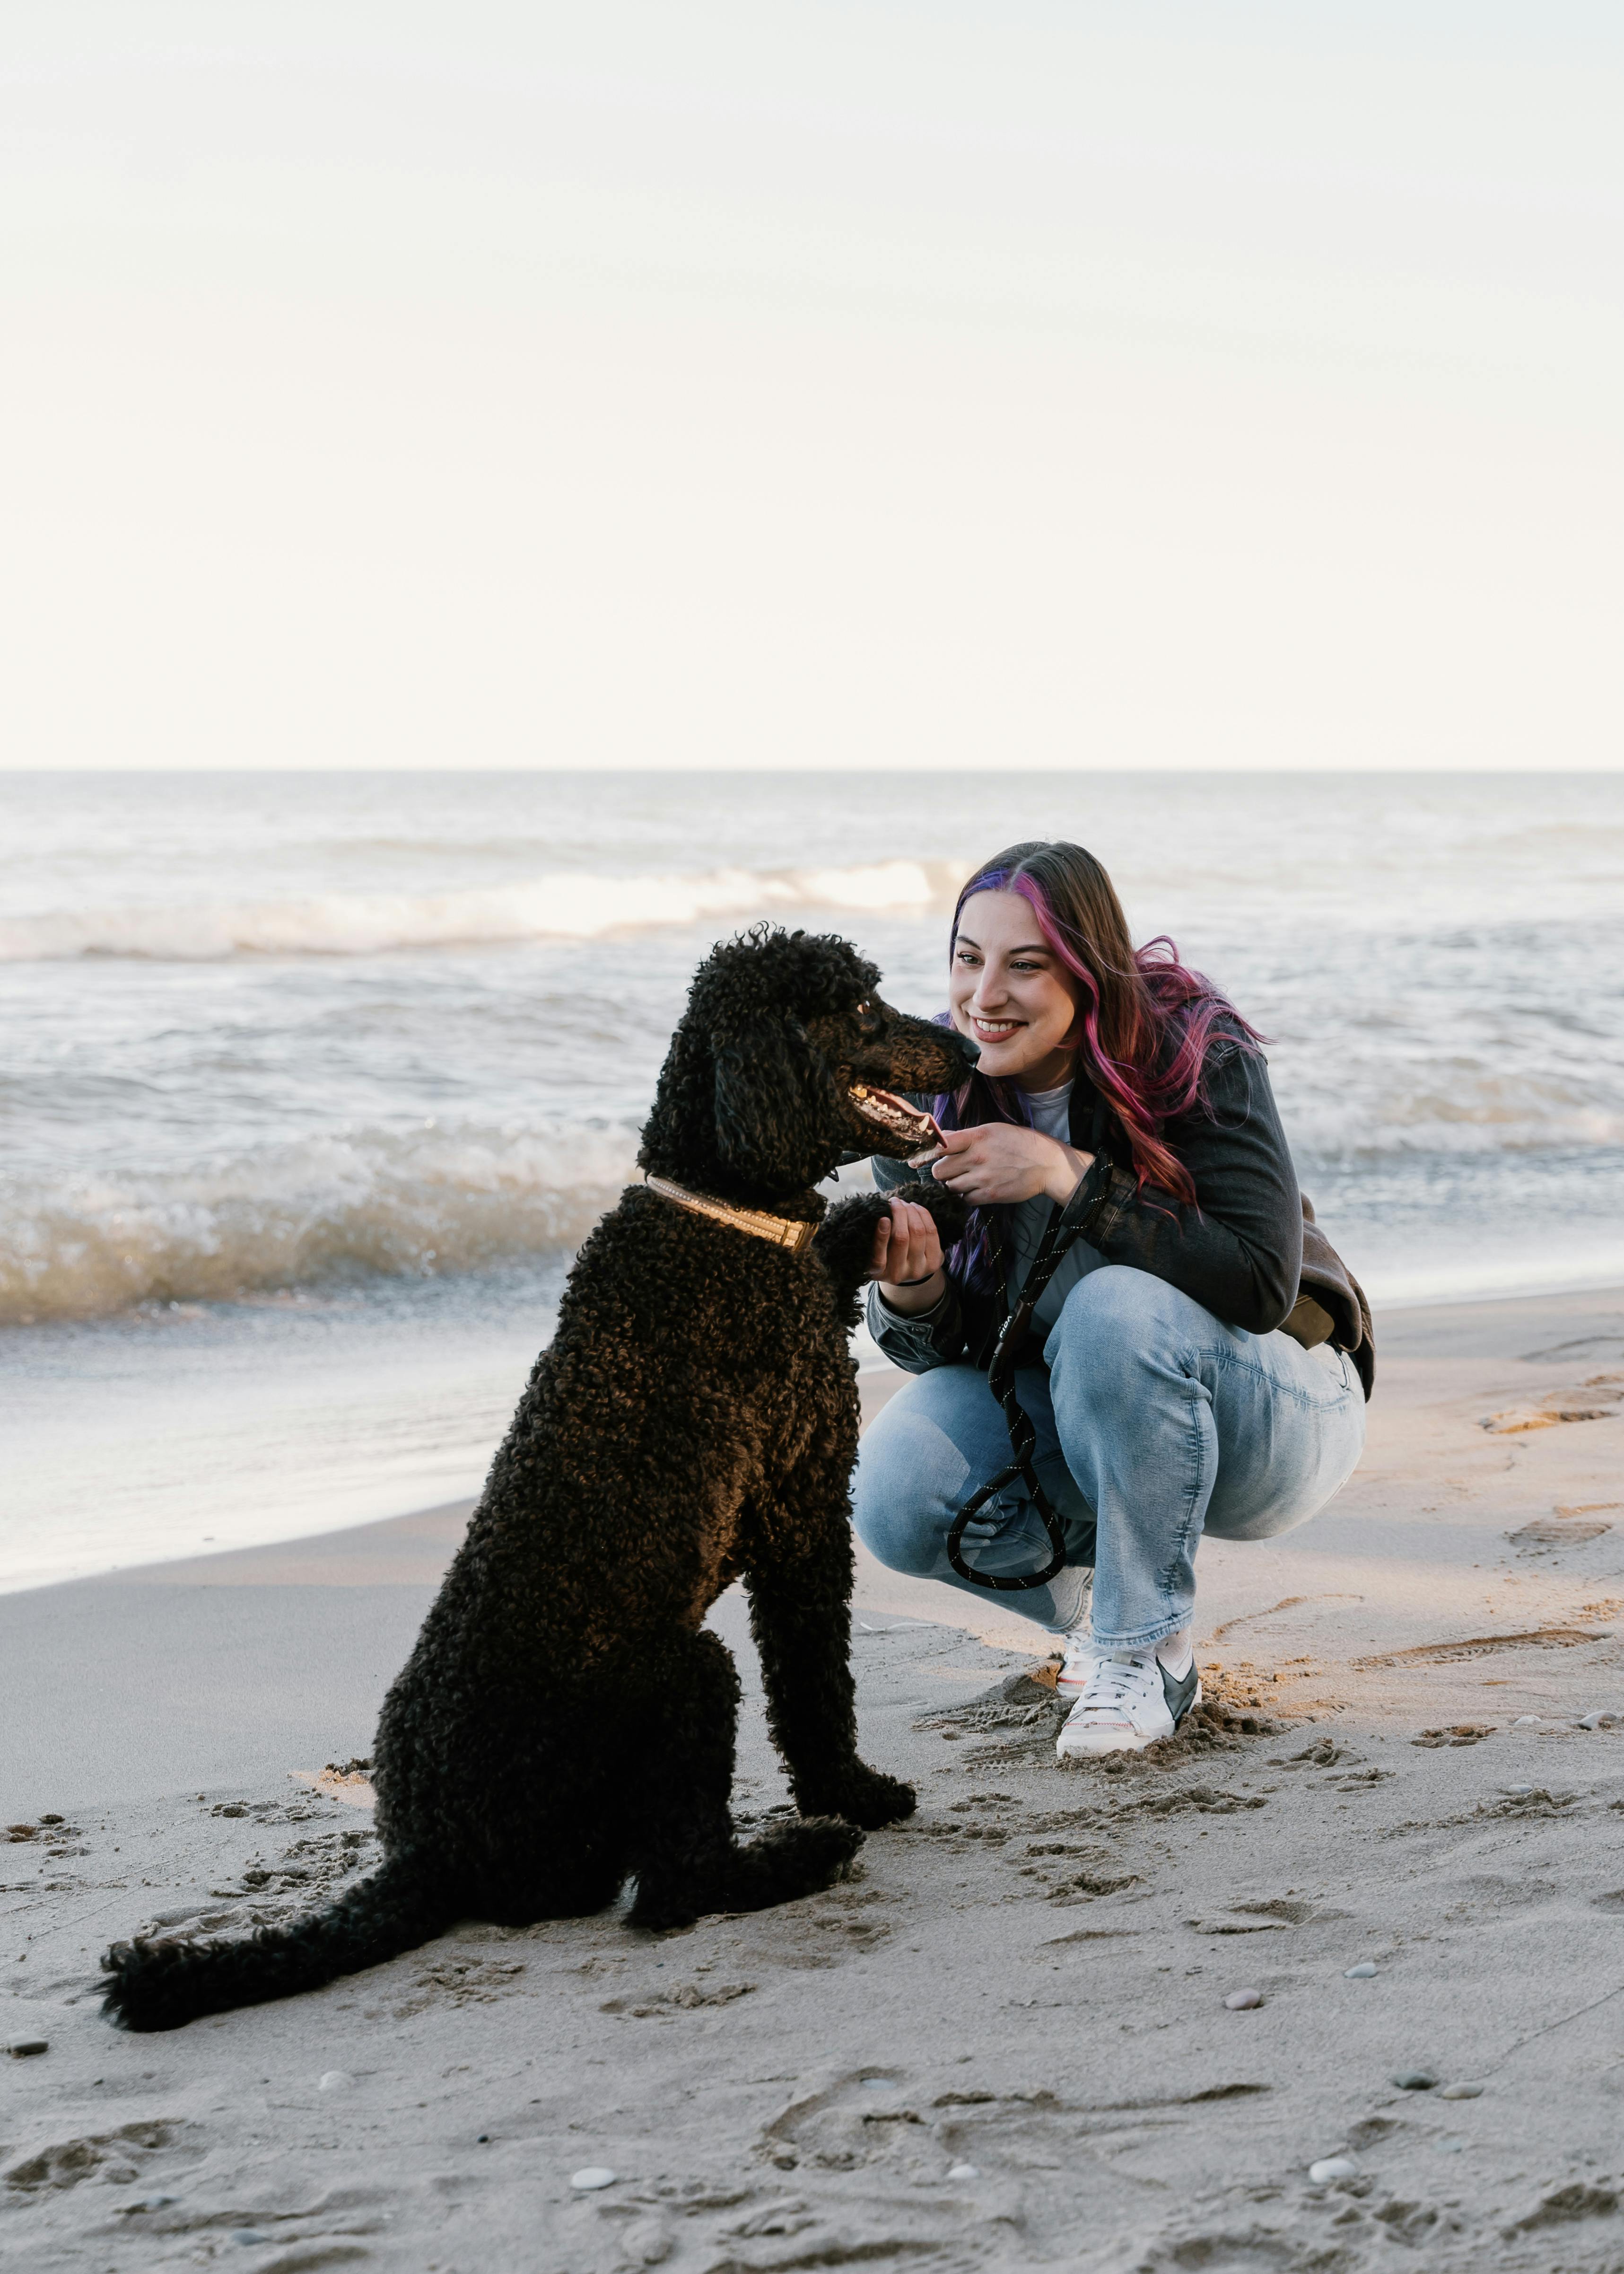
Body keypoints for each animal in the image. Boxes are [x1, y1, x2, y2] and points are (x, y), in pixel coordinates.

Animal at [102, 927, 971, 2030]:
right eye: (861, 1008)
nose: (970, 1054)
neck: (720, 1215)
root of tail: (431, 1853)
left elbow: (854, 1225)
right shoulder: (800, 1502)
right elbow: (815, 1682)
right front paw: (851, 1790)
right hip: (686, 1672)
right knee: (670, 1887)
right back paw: (803, 1851)